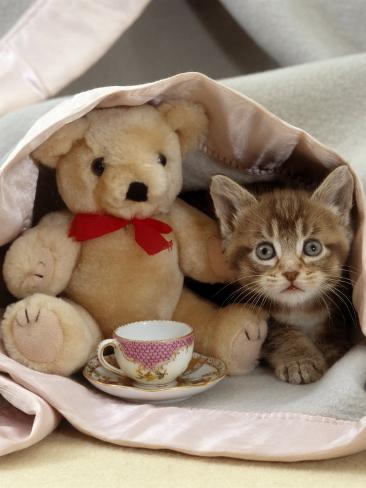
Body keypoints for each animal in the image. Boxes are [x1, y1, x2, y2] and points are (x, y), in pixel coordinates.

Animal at [210, 168, 356, 386]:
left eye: (313, 248)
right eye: (265, 251)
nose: (291, 272)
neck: (299, 309)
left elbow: (333, 327)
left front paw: (331, 347)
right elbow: (279, 332)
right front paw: (300, 359)